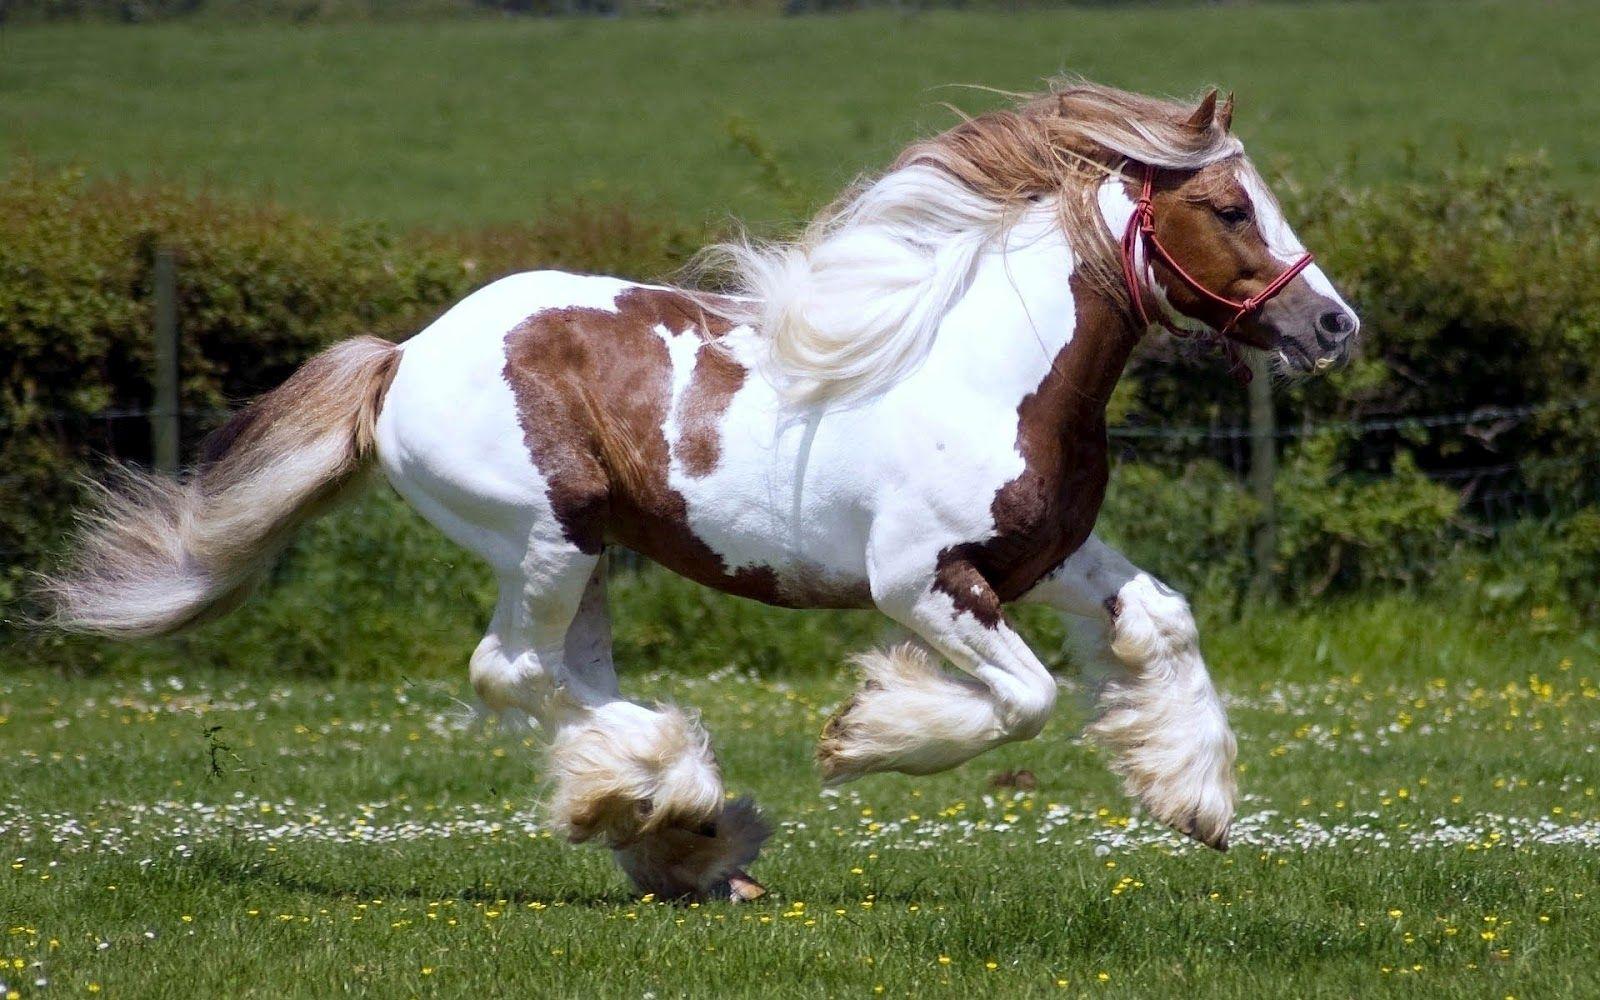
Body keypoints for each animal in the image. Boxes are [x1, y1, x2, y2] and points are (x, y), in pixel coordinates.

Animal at [45, 80, 1359, 902]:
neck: (988, 367)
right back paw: (677, 805)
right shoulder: (921, 582)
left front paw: (1194, 800)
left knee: (562, 677)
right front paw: (863, 735)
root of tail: (404, 357)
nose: (1332, 325)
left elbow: (1164, 622)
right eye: (1228, 207)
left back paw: (681, 836)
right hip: (546, 540)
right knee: (511, 671)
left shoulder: (1049, 557)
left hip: (585, 561)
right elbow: (1025, 700)